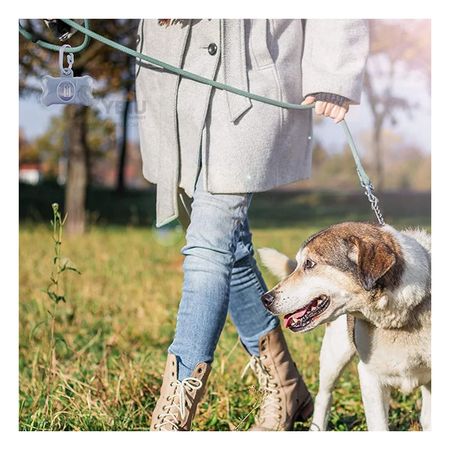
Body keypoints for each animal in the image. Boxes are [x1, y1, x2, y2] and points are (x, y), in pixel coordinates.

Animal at [260, 223, 432, 430]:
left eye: (309, 264)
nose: (265, 299)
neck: (401, 318)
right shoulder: (369, 376)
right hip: (333, 357)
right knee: (323, 396)